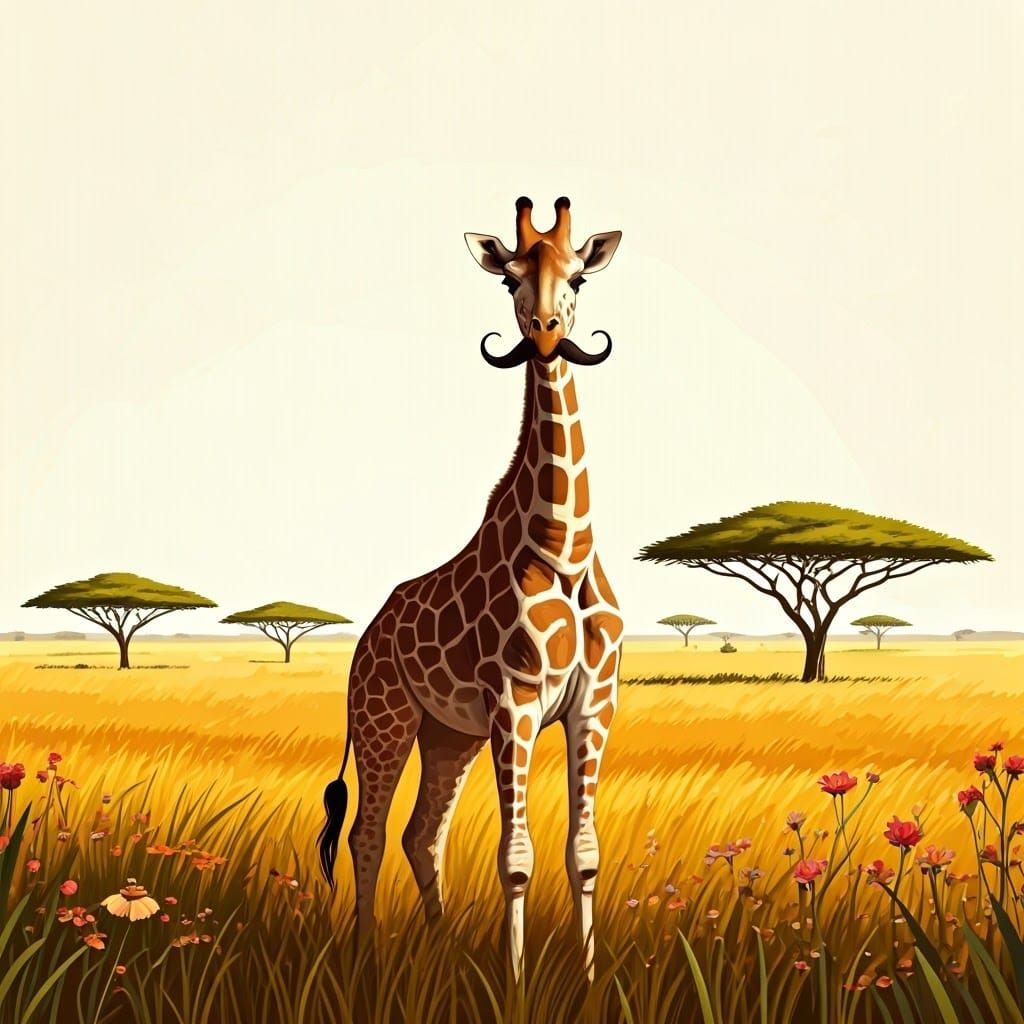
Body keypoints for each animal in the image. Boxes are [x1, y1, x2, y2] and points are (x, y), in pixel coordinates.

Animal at [317, 196, 623, 981]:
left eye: (580, 274)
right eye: (508, 277)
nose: (544, 332)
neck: (564, 545)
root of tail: (367, 637)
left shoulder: (595, 705)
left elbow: (584, 854)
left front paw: (586, 981)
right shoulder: (514, 703)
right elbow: (516, 858)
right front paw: (514, 986)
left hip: (447, 735)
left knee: (421, 835)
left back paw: (443, 948)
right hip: (385, 719)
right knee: (368, 833)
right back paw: (368, 959)